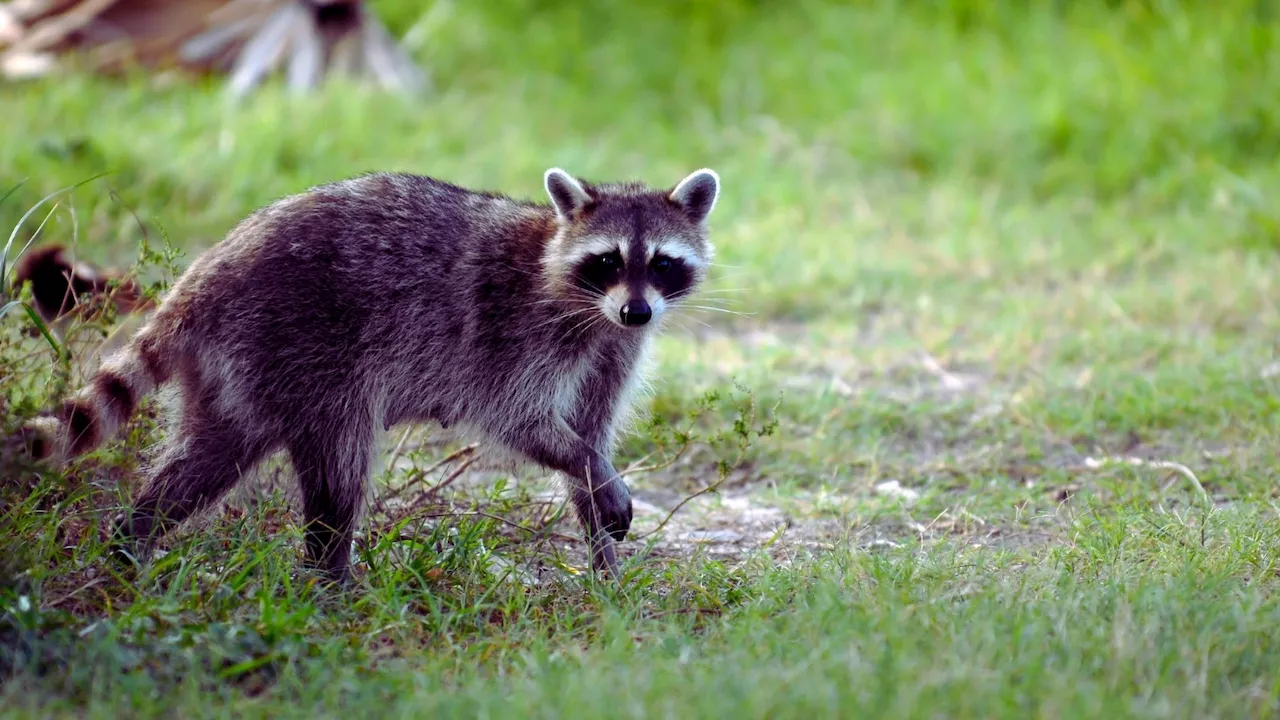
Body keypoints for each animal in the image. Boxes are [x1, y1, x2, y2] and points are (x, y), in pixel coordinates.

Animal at [22, 166, 721, 584]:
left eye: (662, 263)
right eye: (607, 261)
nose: (637, 311)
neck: (587, 304)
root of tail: (209, 271)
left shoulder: (612, 351)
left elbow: (588, 432)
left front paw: (605, 559)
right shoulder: (515, 333)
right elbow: (522, 420)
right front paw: (595, 477)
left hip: (239, 369)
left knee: (207, 457)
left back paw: (130, 540)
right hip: (303, 345)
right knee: (340, 467)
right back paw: (331, 576)